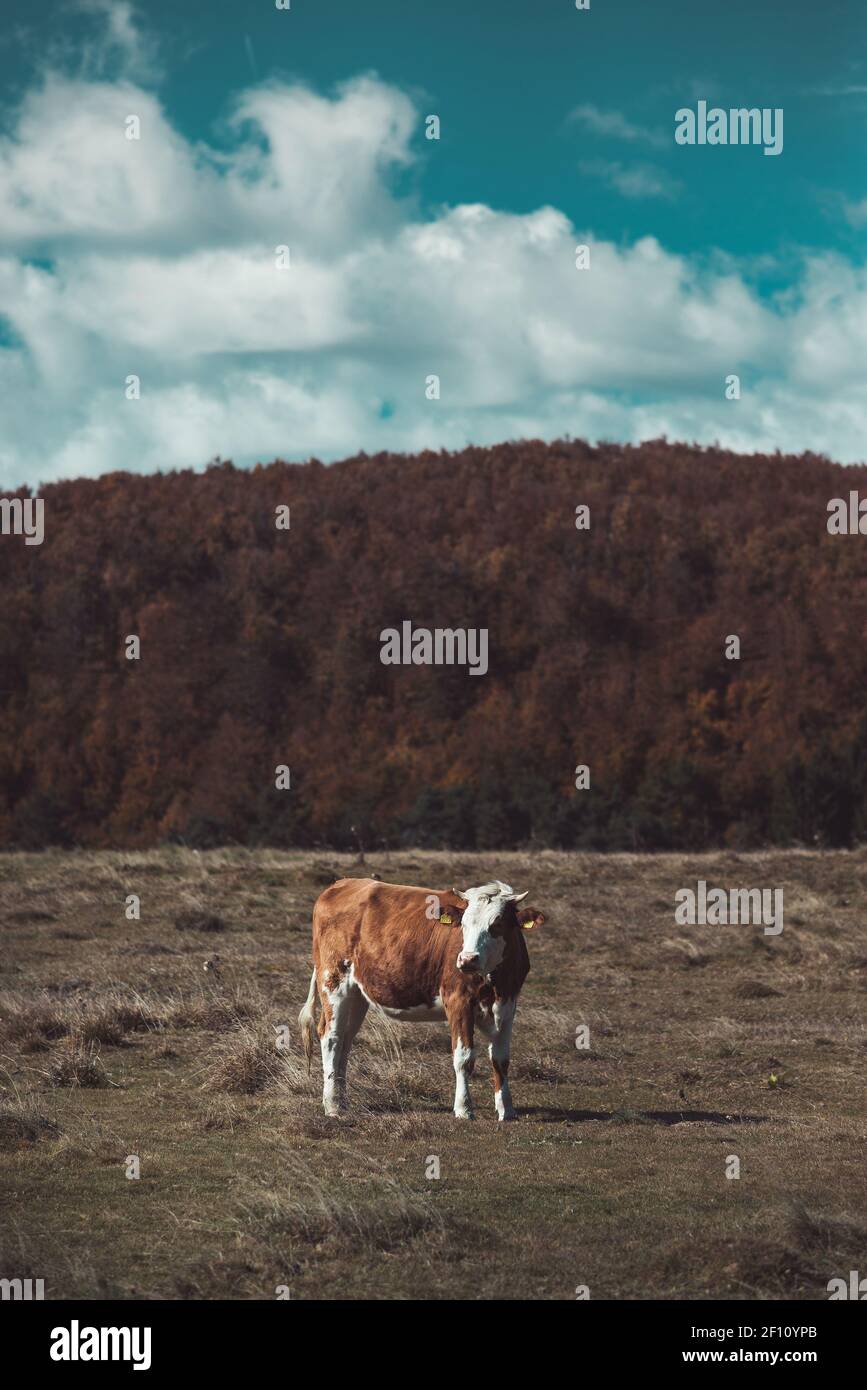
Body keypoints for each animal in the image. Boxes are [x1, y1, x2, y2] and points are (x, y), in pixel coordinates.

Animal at [295, 878, 541, 1117]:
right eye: (463, 924)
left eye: (497, 924)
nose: (467, 959)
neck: (495, 984)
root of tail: (341, 884)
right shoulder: (458, 1001)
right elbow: (463, 1057)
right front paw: (463, 1109)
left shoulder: (508, 1004)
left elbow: (501, 1059)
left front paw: (506, 1109)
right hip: (334, 982)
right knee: (332, 1038)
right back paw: (333, 1105)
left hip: (356, 995)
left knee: (345, 1042)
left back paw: (342, 1100)